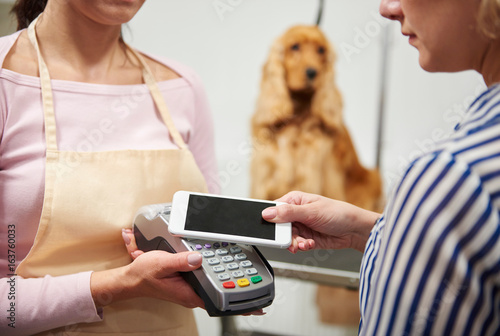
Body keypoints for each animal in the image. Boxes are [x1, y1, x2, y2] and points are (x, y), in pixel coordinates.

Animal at [250, 25, 382, 213]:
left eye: (321, 50)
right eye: (295, 46)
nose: (313, 73)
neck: (297, 118)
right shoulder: (264, 176)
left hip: (372, 179)